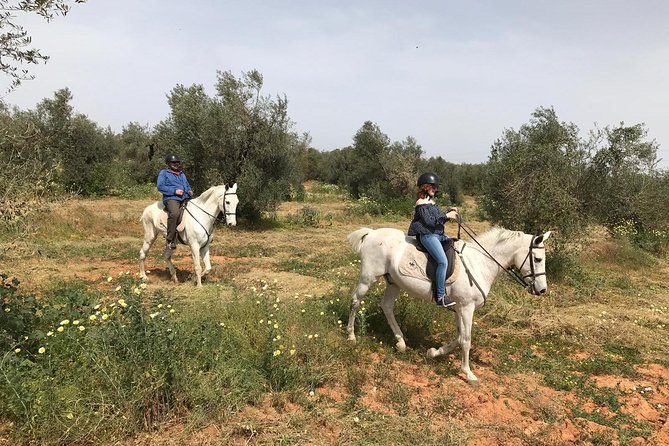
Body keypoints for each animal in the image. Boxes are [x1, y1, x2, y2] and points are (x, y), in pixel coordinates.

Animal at [348, 226, 552, 384]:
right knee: (355, 301)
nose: (542, 290)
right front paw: (468, 373)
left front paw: (433, 352)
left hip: (393, 283)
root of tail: (371, 233)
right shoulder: (467, 308)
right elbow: (466, 340)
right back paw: (351, 336)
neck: (479, 263)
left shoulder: (459, 308)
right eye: (538, 259)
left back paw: (401, 343)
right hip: (368, 278)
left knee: (387, 306)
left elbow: (459, 338)